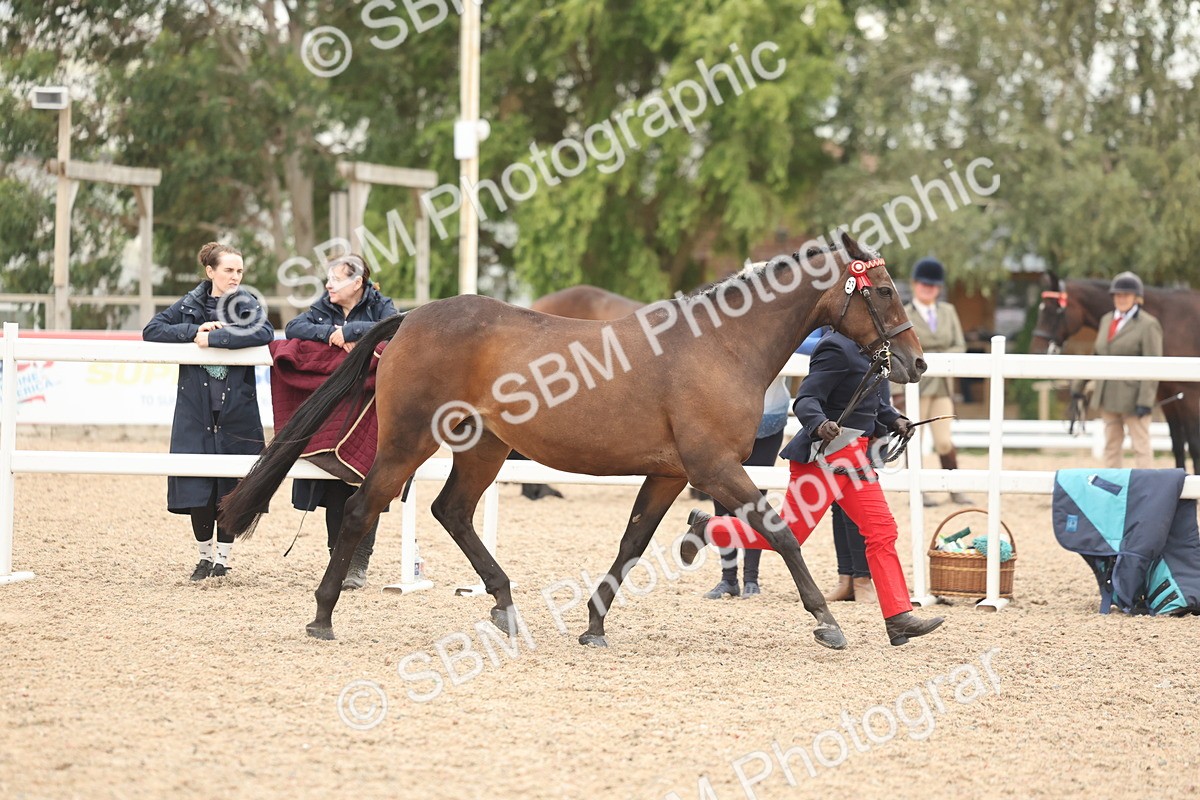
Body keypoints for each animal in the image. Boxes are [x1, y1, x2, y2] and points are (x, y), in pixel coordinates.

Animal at [1031, 272, 1200, 473]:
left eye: (1056, 310)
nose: (1038, 351)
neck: (1166, 319)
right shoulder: (1167, 395)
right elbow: (1177, 444)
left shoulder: (1189, 394)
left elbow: (1194, 444)